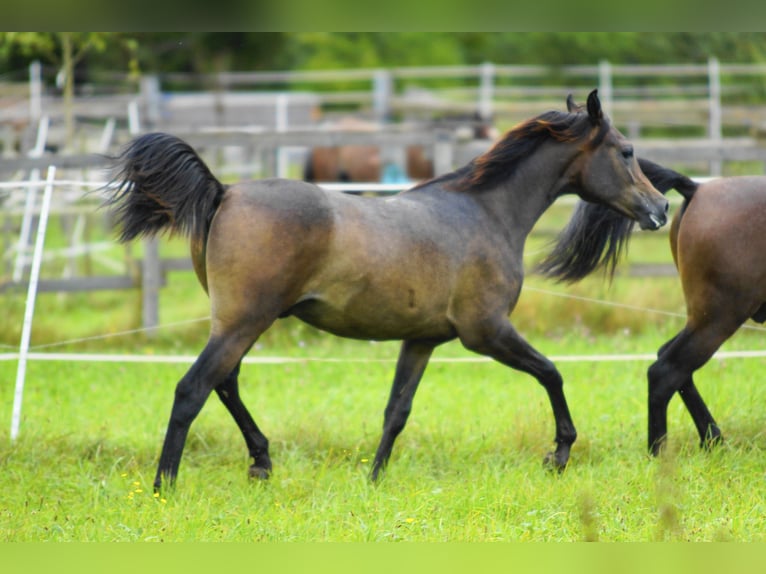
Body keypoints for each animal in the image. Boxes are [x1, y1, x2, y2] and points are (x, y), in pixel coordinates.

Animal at [105, 90, 668, 490]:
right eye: (626, 151)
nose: (661, 208)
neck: (485, 212)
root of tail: (224, 191)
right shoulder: (486, 332)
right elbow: (551, 373)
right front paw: (559, 454)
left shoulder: (422, 340)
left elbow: (396, 411)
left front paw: (373, 479)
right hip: (244, 321)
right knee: (193, 389)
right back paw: (165, 485)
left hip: (239, 323)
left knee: (225, 384)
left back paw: (262, 462)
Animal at [540, 156, 766, 460]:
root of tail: (697, 189)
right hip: (718, 318)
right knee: (665, 370)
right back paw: (661, 451)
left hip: (704, 318)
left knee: (671, 364)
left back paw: (711, 440)